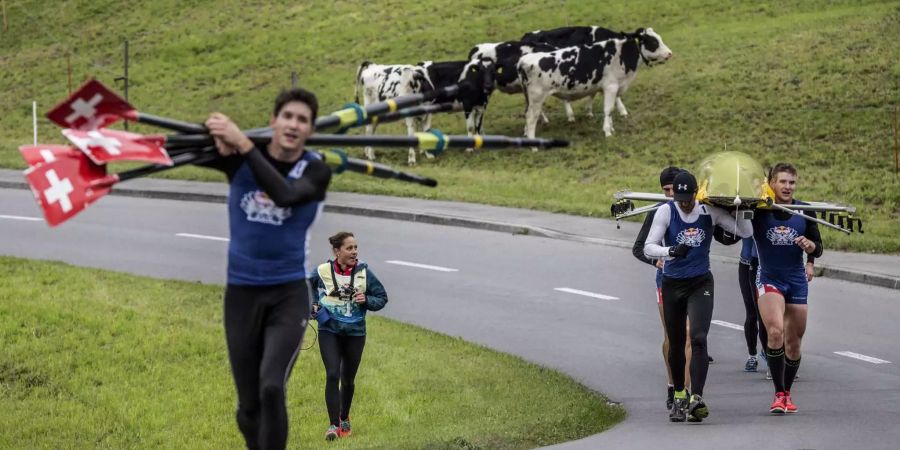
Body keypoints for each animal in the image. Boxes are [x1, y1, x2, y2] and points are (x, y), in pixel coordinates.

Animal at [516, 27, 672, 144]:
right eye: (653, 41)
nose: (669, 53)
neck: (620, 54)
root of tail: (524, 60)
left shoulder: (608, 88)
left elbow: (609, 109)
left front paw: (611, 127)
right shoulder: (611, 87)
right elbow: (608, 109)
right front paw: (607, 132)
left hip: (530, 99)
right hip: (536, 99)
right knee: (531, 118)